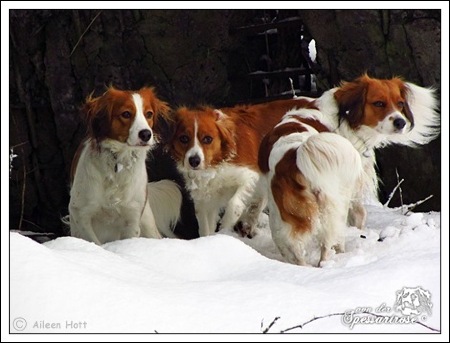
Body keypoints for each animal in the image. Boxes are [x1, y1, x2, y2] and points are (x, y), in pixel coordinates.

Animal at [68, 87, 181, 246]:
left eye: (149, 114)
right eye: (126, 114)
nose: (146, 134)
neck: (118, 162)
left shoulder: (132, 217)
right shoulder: (80, 214)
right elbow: (96, 243)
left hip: (148, 224)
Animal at [260, 73, 440, 266]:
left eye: (399, 103)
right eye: (379, 103)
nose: (400, 122)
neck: (341, 117)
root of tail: (296, 152)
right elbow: (360, 214)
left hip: (283, 217)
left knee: (293, 247)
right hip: (333, 206)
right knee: (328, 242)